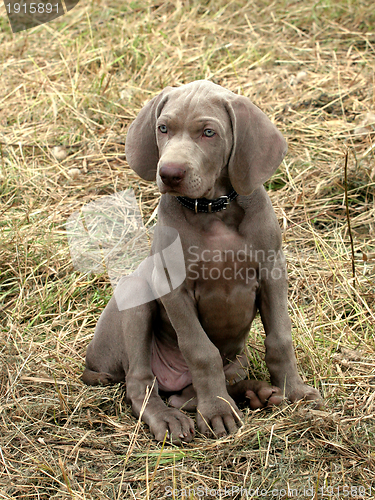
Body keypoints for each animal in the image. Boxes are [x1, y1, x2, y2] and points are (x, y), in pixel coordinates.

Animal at [83, 81, 324, 442]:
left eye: (208, 132)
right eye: (163, 128)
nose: (169, 173)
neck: (214, 209)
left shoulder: (272, 271)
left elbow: (280, 338)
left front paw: (294, 391)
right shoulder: (174, 286)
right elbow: (201, 351)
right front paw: (217, 413)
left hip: (236, 358)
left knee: (191, 393)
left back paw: (255, 391)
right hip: (135, 299)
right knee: (141, 383)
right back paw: (172, 418)